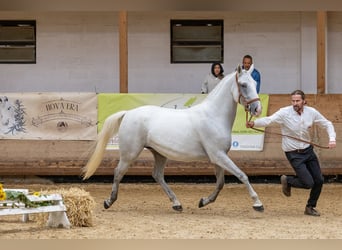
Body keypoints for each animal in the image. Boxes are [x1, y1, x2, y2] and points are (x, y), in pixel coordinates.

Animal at [83, 64, 264, 211]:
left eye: (255, 84)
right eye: (244, 85)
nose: (257, 109)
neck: (213, 116)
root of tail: (128, 113)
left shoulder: (218, 157)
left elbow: (220, 183)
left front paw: (203, 201)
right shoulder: (218, 155)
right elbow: (242, 175)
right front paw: (257, 203)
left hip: (159, 153)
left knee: (157, 175)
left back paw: (176, 203)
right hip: (130, 153)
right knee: (118, 172)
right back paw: (109, 201)